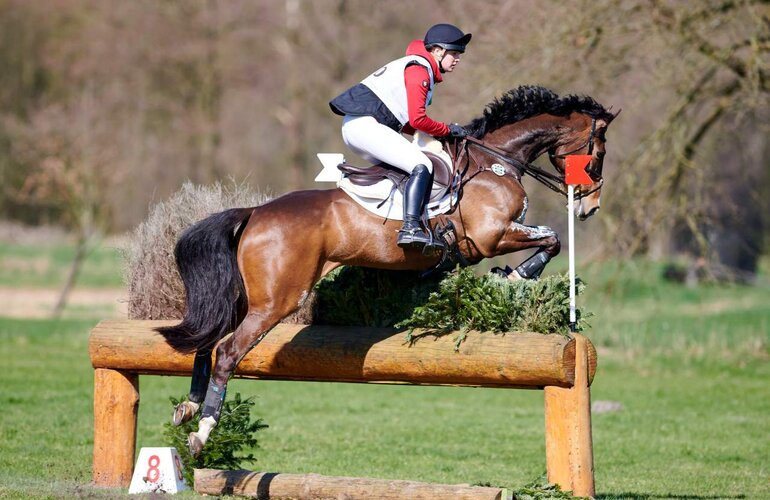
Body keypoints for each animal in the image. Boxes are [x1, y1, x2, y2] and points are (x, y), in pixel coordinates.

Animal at [158, 85, 618, 456]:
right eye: (599, 150)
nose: (589, 207)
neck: (495, 162)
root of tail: (254, 213)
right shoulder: (492, 236)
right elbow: (552, 239)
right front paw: (518, 275)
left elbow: (550, 239)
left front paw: (512, 275)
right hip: (277, 301)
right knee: (228, 352)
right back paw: (202, 433)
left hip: (246, 299)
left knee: (208, 342)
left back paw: (189, 407)